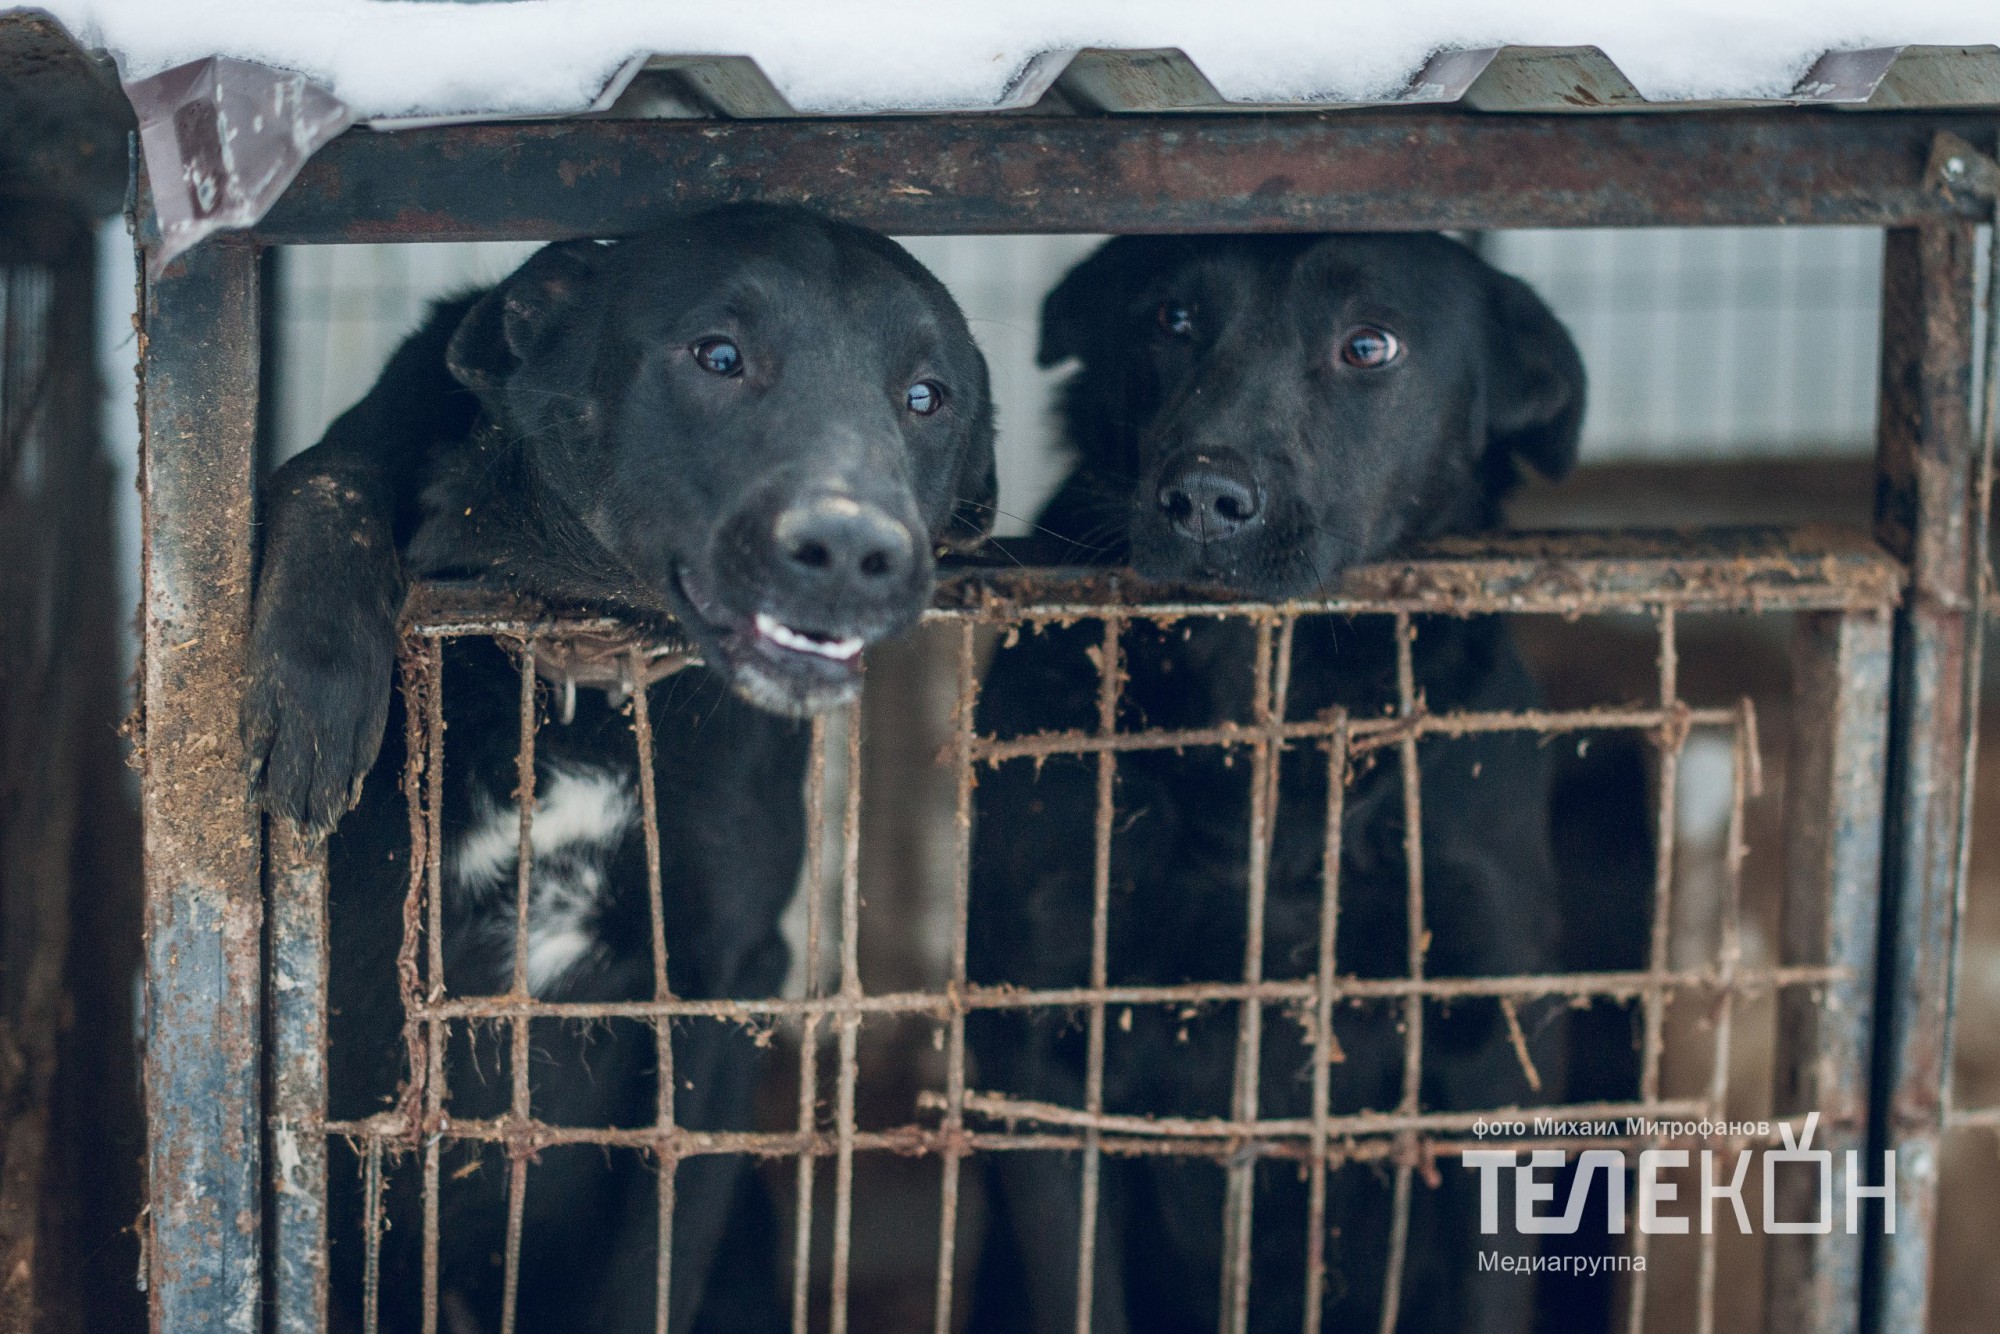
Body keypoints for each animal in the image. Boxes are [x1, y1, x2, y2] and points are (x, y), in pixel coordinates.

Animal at [246, 204, 996, 1328]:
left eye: (925, 397)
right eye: (717, 354)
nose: (852, 550)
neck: (587, 679)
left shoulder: (720, 985)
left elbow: (652, 1258)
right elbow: (326, 470)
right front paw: (316, 675)